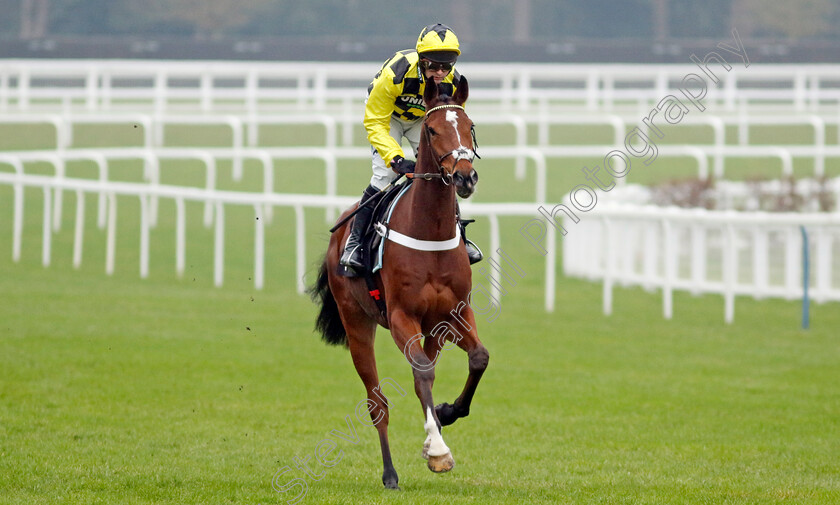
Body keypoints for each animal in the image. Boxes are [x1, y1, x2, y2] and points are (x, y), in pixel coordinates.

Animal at [312, 76, 488, 488]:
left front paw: (447, 413)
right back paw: (390, 472)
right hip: (356, 322)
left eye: (469, 125)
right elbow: (421, 371)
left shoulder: (454, 313)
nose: (465, 177)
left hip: (433, 327)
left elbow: (477, 358)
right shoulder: (400, 317)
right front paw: (438, 452)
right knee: (378, 401)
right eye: (433, 129)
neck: (430, 231)